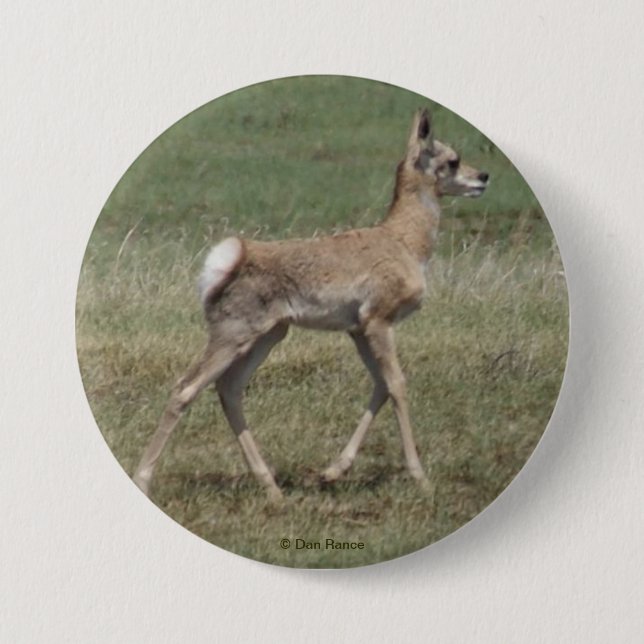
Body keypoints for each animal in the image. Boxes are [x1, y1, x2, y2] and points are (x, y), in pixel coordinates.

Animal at [132, 108, 488, 503]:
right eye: (452, 159)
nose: (483, 177)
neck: (400, 239)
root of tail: (239, 257)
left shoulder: (358, 330)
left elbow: (380, 385)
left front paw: (333, 471)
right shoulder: (379, 324)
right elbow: (397, 384)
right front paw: (421, 478)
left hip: (268, 337)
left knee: (229, 389)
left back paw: (272, 488)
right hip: (233, 338)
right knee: (185, 389)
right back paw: (143, 479)